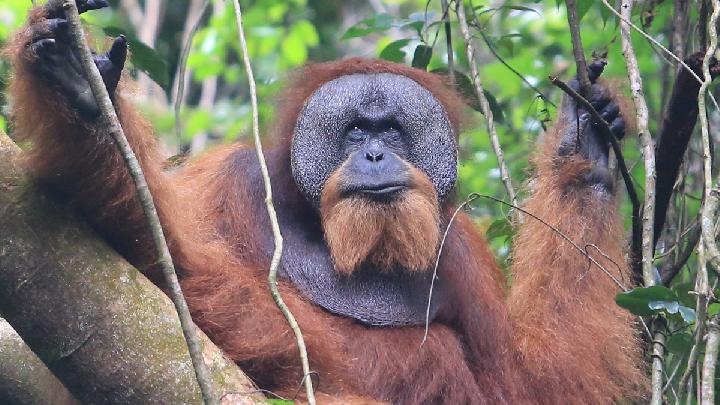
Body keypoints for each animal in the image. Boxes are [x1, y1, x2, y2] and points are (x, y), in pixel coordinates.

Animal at [5, 1, 646, 403]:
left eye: (392, 132)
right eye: (356, 132)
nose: (375, 156)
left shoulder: (461, 251)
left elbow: (529, 385)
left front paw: (586, 146)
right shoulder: (230, 182)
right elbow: (170, 273)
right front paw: (80, 91)